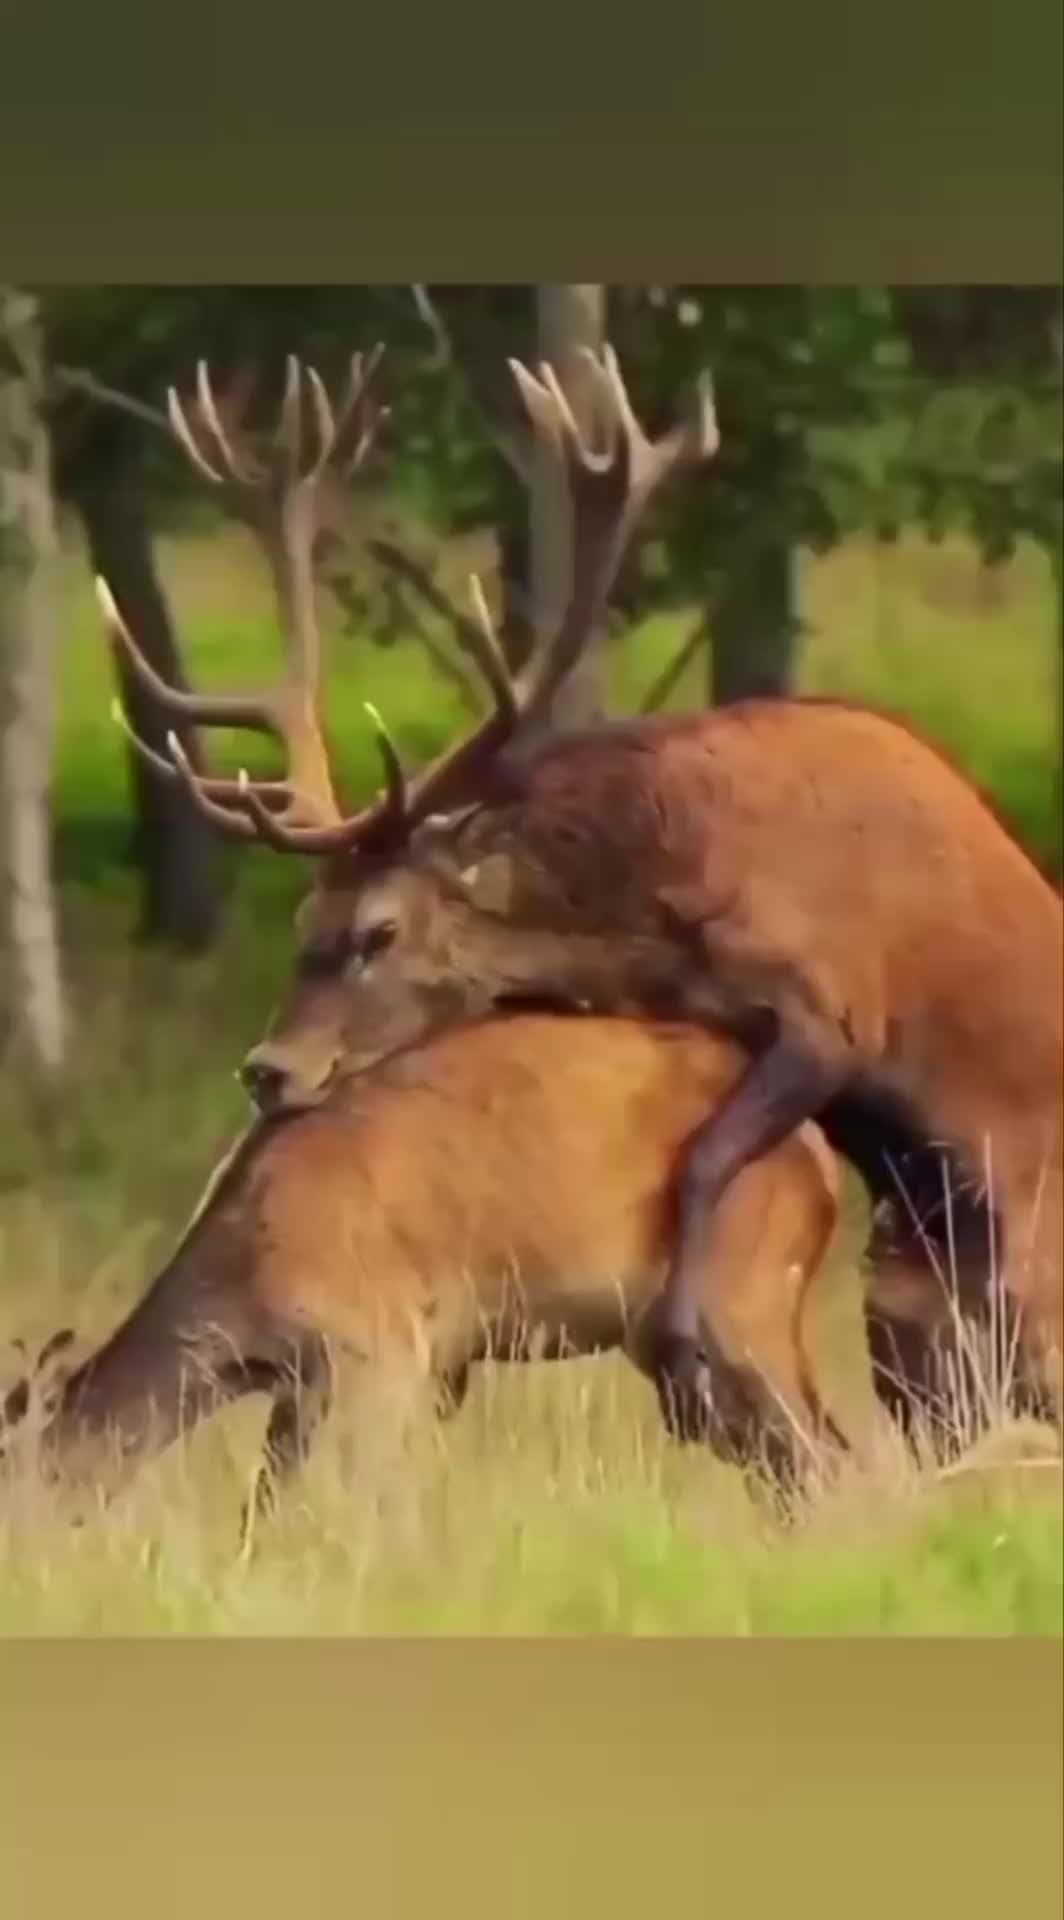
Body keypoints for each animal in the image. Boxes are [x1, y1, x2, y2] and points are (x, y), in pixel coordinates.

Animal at [98, 337, 1063, 1464]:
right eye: (302, 923)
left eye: (380, 929)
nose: (267, 1069)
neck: (649, 907)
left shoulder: (832, 1006)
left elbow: (702, 1162)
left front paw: (686, 1350)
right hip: (921, 1312)